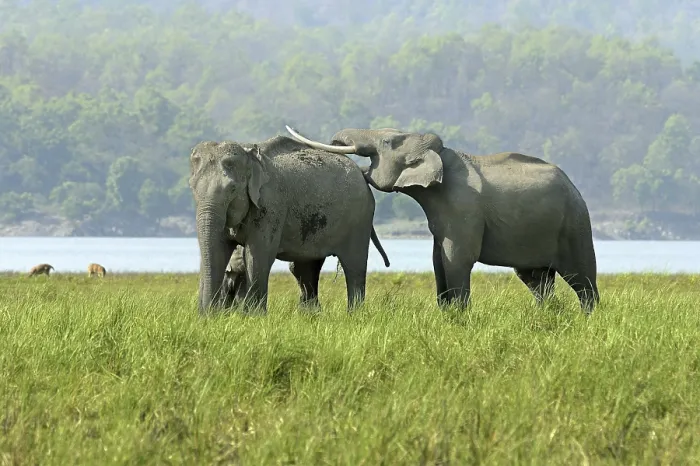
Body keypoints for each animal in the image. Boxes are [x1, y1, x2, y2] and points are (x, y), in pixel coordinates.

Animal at [189, 135, 391, 314]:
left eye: (232, 189)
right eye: (192, 187)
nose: (208, 312)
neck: (250, 155)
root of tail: (362, 173)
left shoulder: (270, 206)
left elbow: (258, 255)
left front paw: (253, 317)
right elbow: (219, 250)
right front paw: (209, 317)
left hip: (360, 218)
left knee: (354, 266)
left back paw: (354, 314)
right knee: (305, 268)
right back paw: (310, 314)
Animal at [285, 126, 600, 314]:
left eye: (387, 141)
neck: (441, 154)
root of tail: (575, 188)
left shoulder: (462, 209)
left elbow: (456, 258)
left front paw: (460, 316)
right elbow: (438, 260)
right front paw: (446, 314)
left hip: (575, 224)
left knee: (581, 277)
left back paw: (587, 317)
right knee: (536, 280)